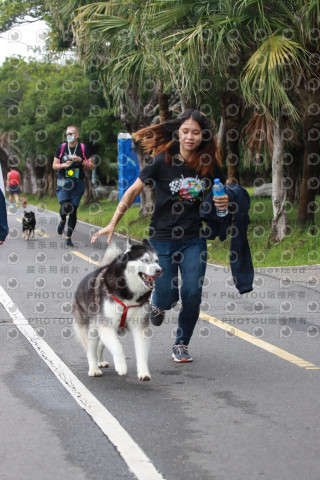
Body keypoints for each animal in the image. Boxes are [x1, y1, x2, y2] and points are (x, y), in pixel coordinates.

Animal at [73, 240, 161, 382]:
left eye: (157, 261)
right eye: (145, 260)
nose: (159, 270)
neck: (129, 295)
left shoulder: (140, 327)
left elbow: (141, 351)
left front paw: (143, 372)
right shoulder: (106, 326)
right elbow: (117, 347)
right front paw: (121, 366)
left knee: (101, 345)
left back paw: (100, 361)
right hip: (91, 328)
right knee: (91, 350)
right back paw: (94, 368)